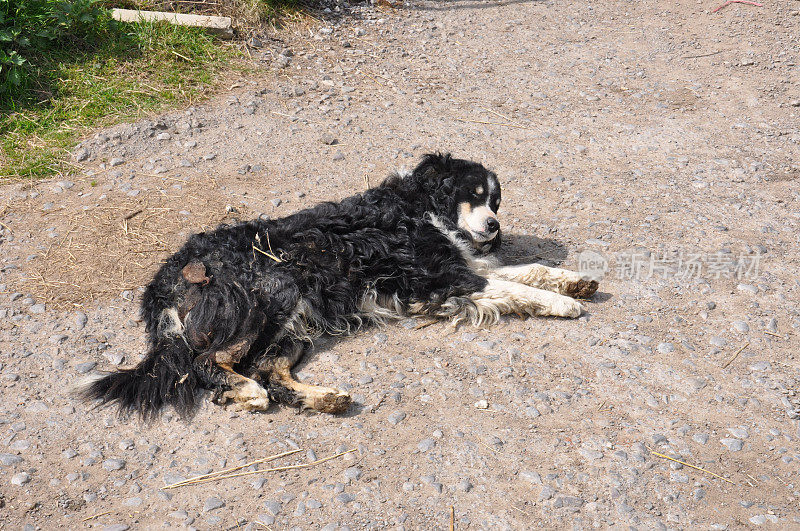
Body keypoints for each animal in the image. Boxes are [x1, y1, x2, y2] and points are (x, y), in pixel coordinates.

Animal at [81, 154, 596, 420]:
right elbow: (521, 289)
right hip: (271, 293)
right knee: (208, 362)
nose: (493, 226)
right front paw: (563, 304)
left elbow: (530, 269)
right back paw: (246, 392)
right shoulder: (442, 279)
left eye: (495, 200)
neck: (422, 208)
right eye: (472, 194)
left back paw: (323, 398)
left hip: (295, 319)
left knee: (269, 371)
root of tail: (162, 282)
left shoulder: (463, 267)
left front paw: (577, 281)